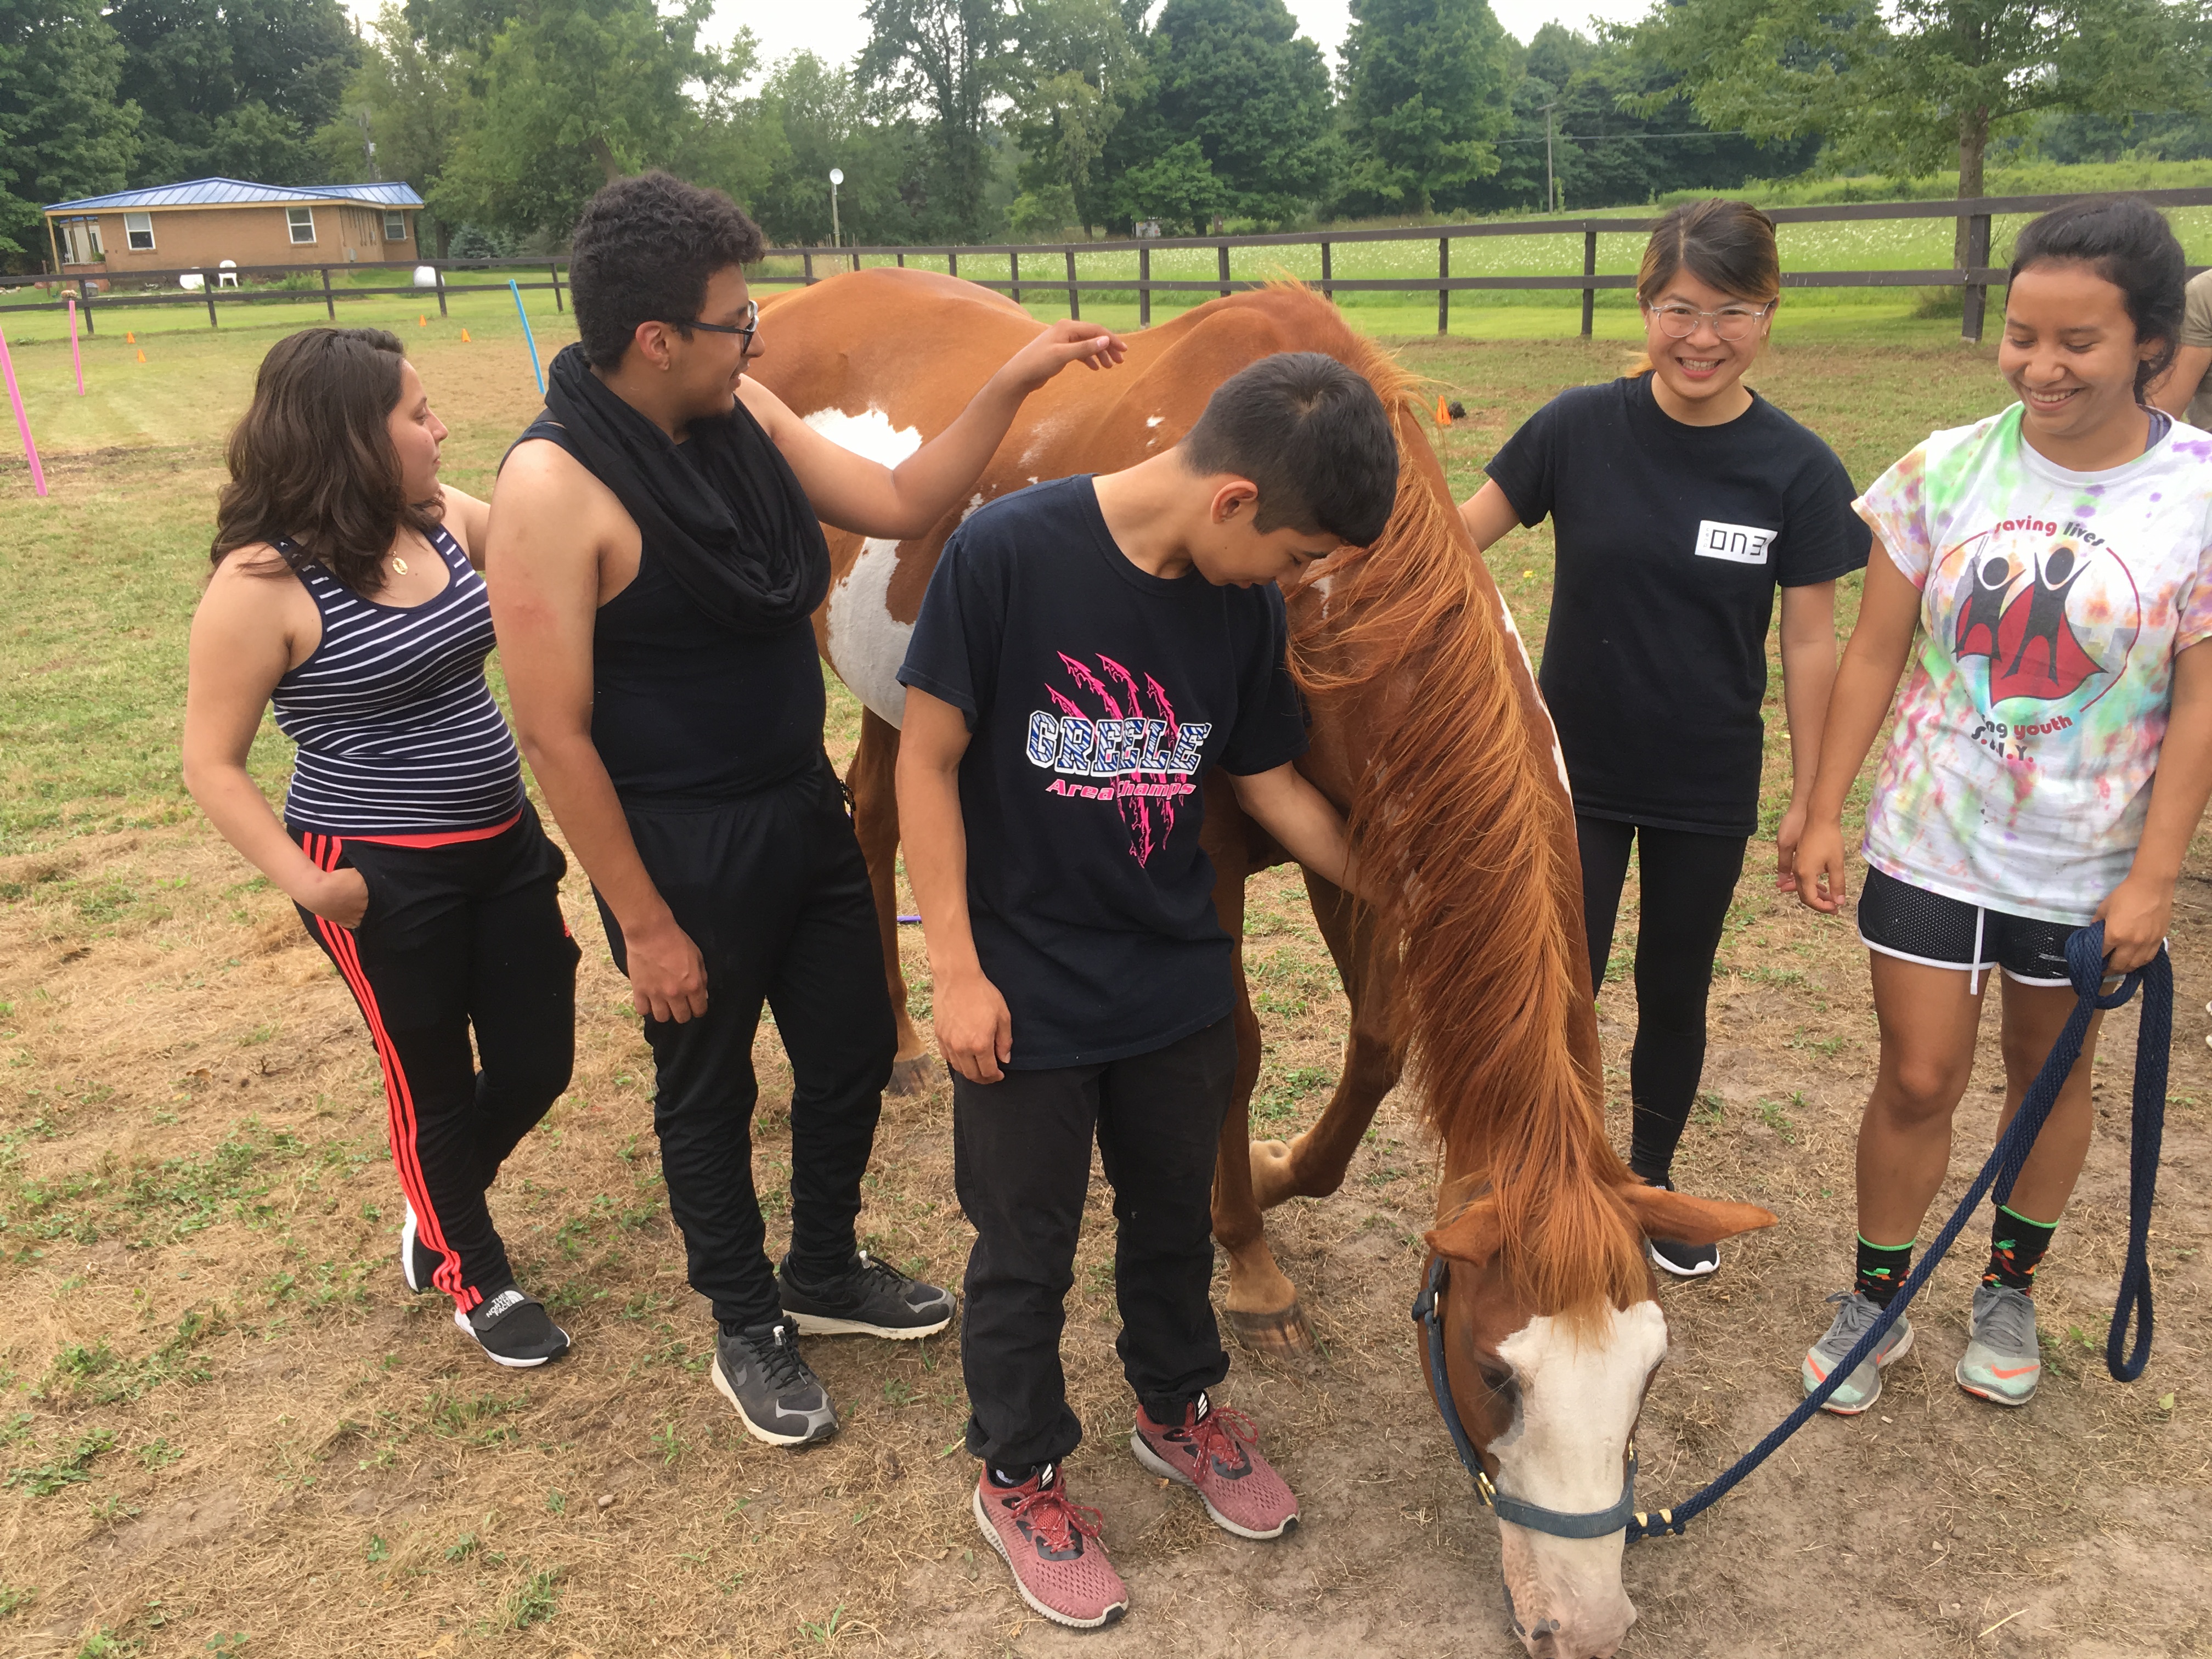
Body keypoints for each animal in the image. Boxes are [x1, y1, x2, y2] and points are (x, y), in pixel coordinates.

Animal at [752, 266, 1769, 1654]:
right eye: (1493, 1369)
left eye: (1650, 1376)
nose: (1587, 1623)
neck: (1323, 601)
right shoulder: (1212, 848)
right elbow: (1224, 1051)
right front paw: (1250, 1266)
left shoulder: (1356, 835)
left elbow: (1384, 1040)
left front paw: (1290, 1176)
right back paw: (908, 1051)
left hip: (901, 694)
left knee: (874, 811)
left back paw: (909, 1047)